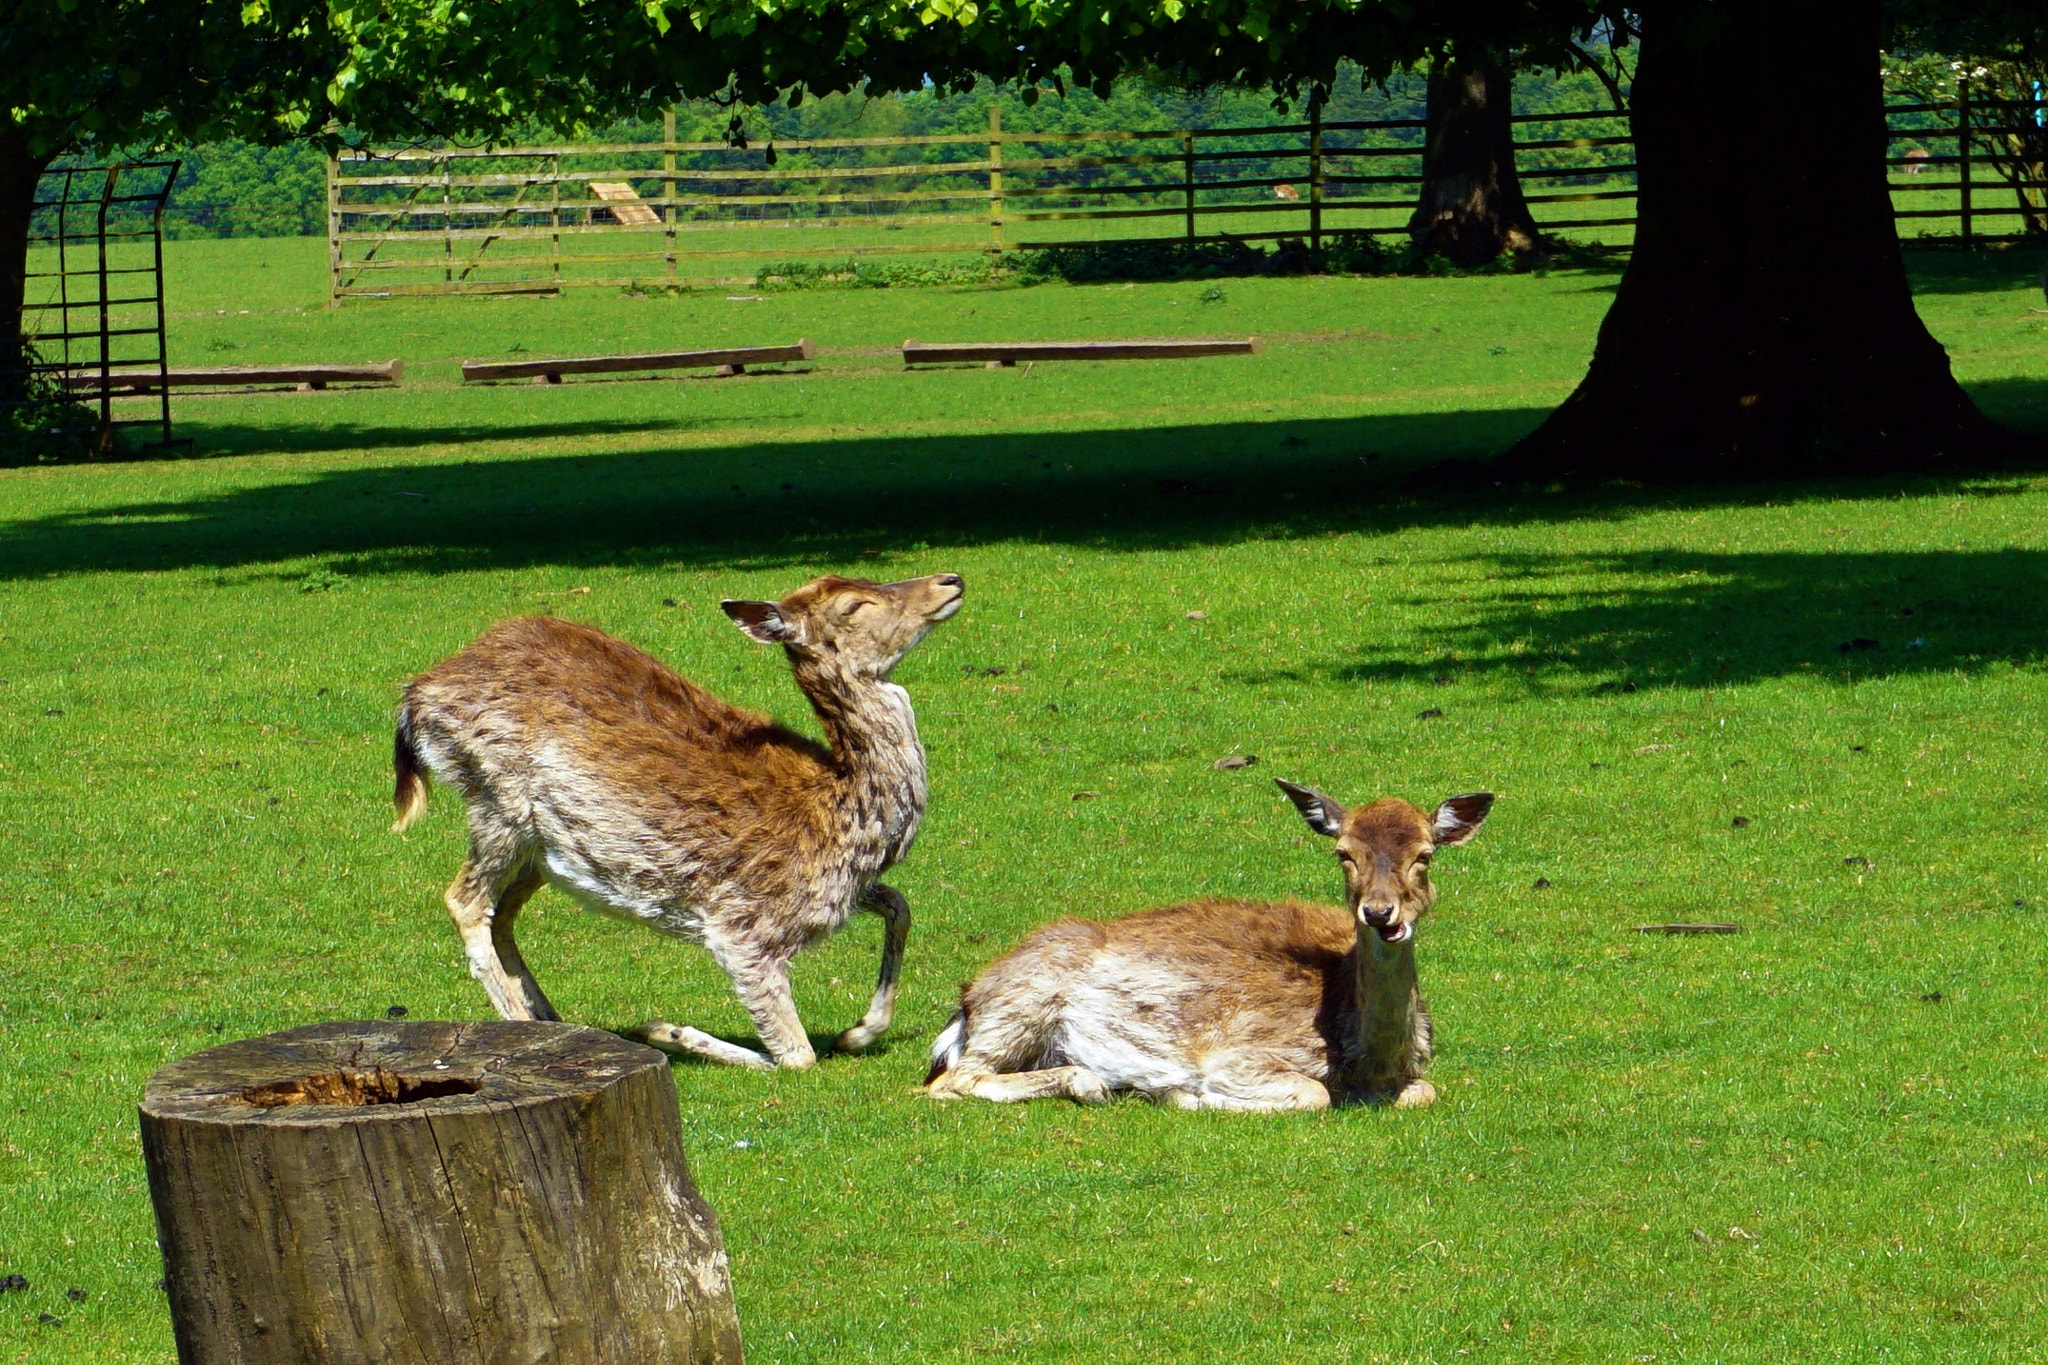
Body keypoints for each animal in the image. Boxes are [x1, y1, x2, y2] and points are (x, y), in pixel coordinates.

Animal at [390, 572, 965, 1071]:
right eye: (854, 605)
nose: (950, 580)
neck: (840, 820)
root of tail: (416, 694)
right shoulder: (744, 928)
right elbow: (797, 1057)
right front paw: (665, 1030)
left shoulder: (834, 896)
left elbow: (900, 905)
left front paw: (856, 1032)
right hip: (498, 801)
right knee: (465, 900)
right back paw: (523, 1026)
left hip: (543, 849)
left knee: (502, 912)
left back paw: (550, 1018)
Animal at [924, 779, 1492, 1110]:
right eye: (1343, 853)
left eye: (1425, 855)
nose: (1379, 912)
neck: (1368, 1061)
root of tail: (968, 998)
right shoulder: (1241, 1052)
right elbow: (1312, 1094)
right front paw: (1184, 1094)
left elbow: (1424, 1092)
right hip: (1021, 1001)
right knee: (952, 1080)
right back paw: (1093, 1084)